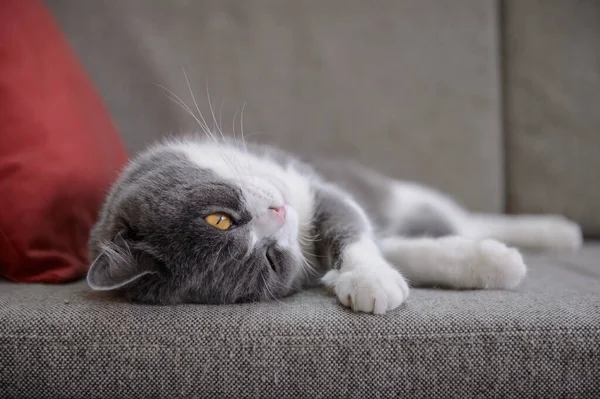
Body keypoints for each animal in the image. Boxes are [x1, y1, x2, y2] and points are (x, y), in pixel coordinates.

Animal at [88, 138, 580, 316]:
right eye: (271, 260)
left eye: (219, 219)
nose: (280, 214)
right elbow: (405, 251)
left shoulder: (320, 190)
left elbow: (353, 229)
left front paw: (368, 279)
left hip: (407, 194)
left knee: (468, 218)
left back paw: (558, 232)